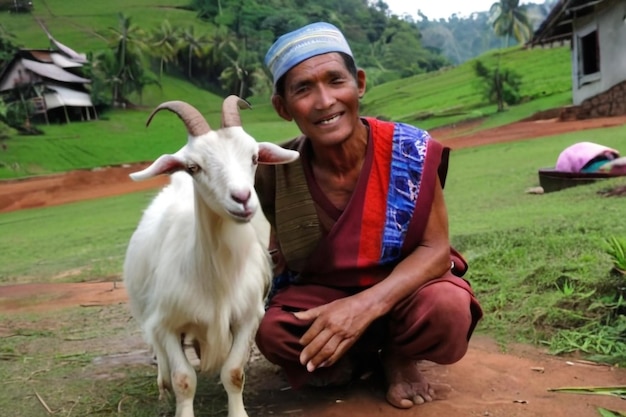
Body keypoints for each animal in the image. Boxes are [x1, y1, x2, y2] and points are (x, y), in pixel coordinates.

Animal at [123, 94, 298, 416]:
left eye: (255, 157)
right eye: (193, 166)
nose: (242, 198)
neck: (217, 277)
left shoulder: (247, 317)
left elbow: (233, 372)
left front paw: (238, 411)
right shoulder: (166, 322)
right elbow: (183, 379)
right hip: (147, 313)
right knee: (161, 357)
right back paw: (162, 388)